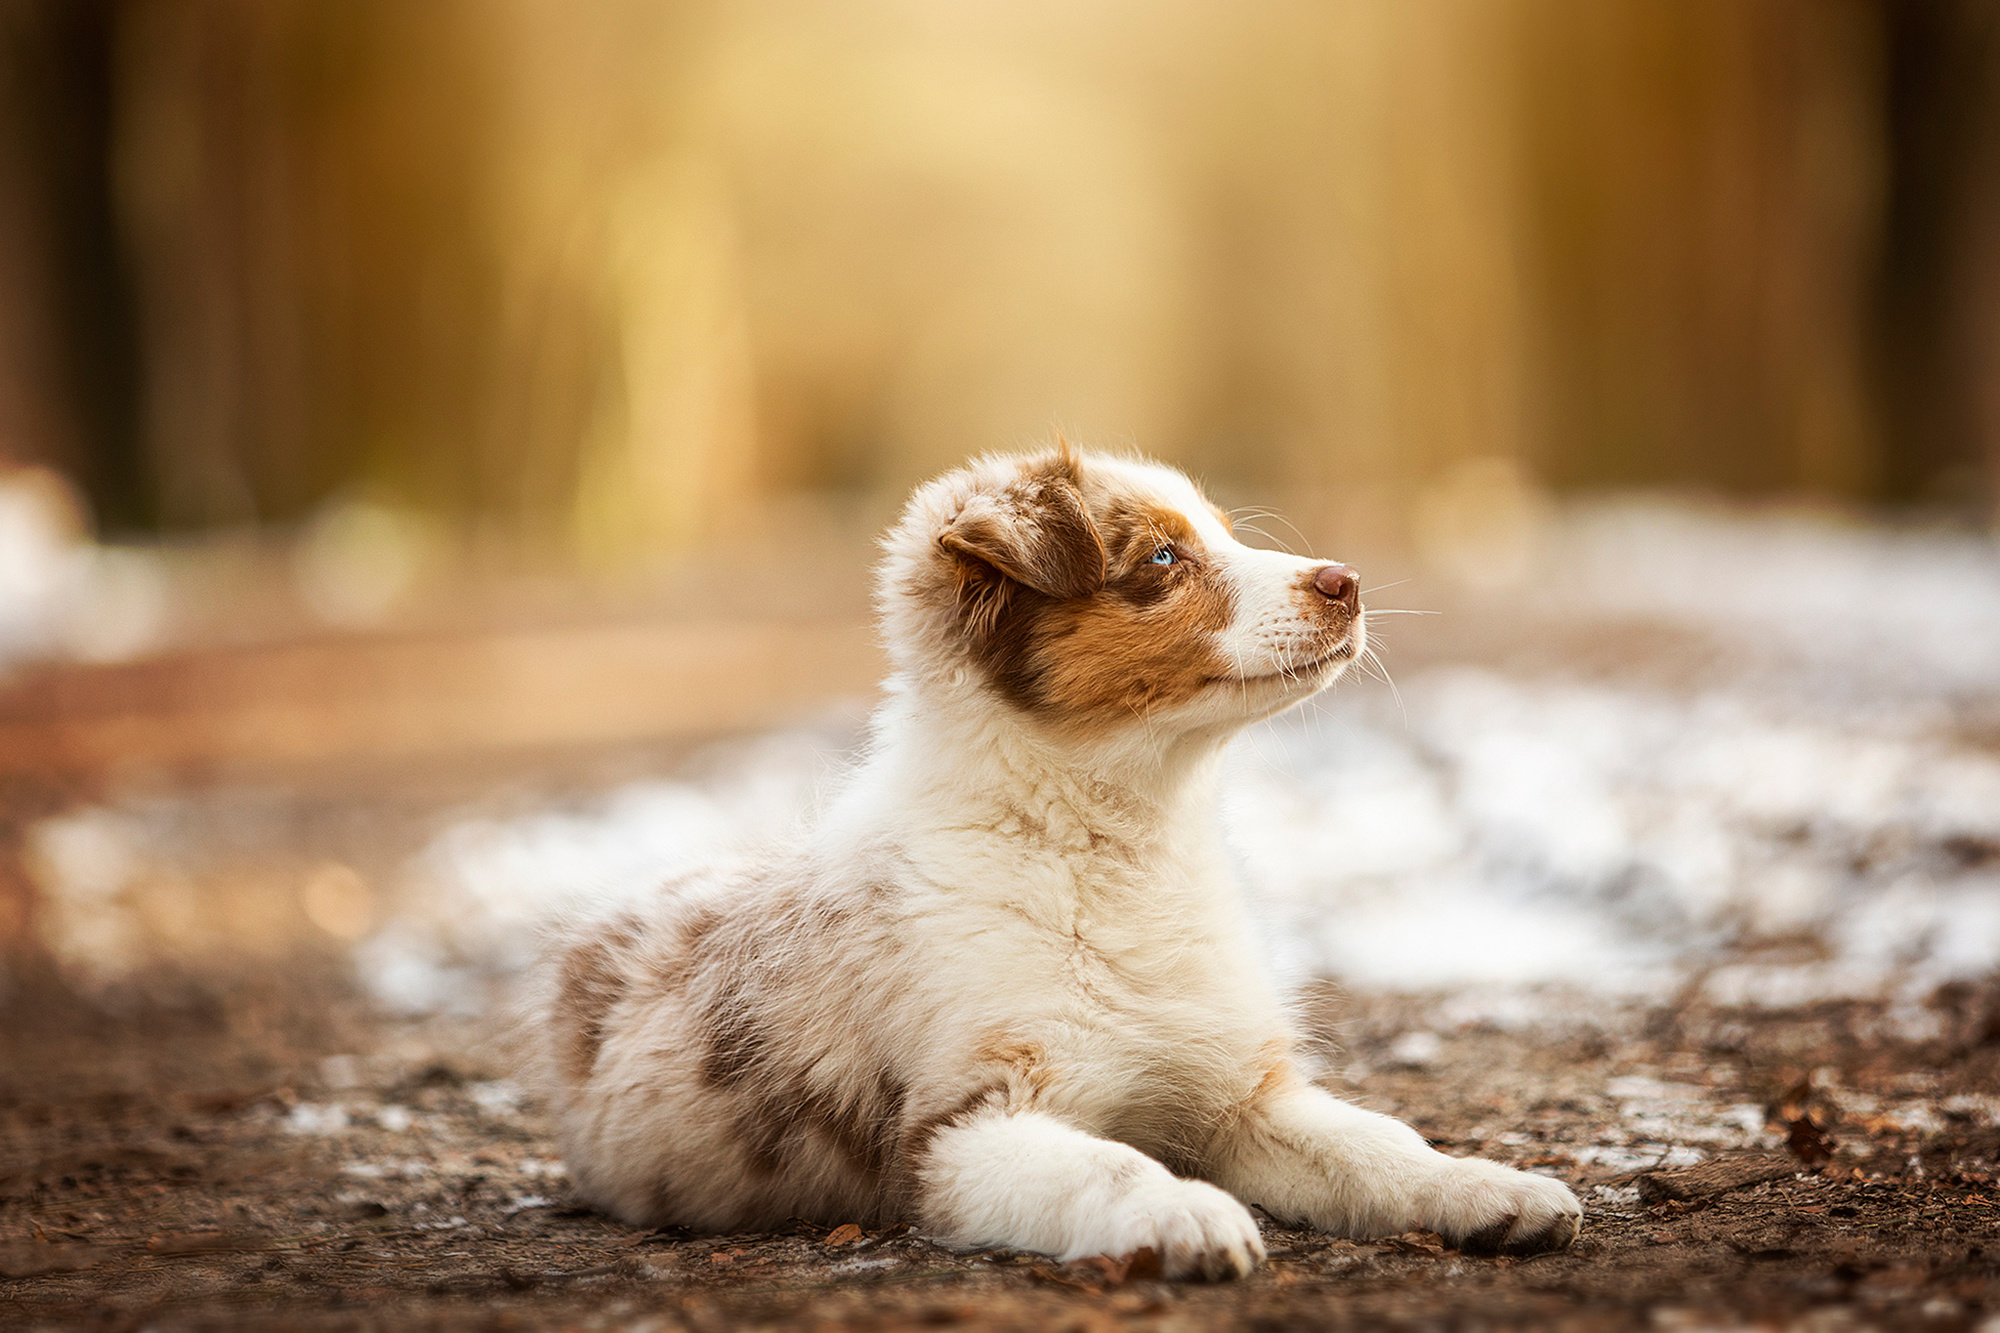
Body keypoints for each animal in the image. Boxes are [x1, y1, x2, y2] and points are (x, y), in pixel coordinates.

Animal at [528, 440, 1576, 1272]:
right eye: (1163, 557)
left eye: (1224, 534)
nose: (1346, 581)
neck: (1116, 843)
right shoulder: (963, 1128)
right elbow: (1107, 1161)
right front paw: (1185, 1212)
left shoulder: (1236, 1096)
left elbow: (1377, 1141)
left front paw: (1491, 1187)